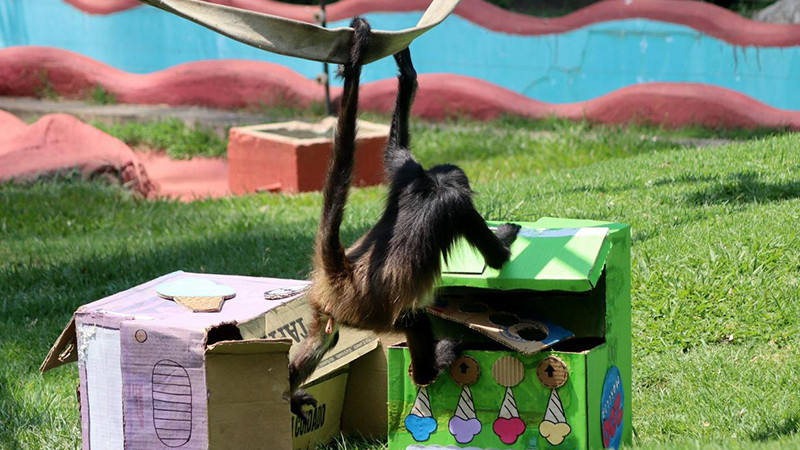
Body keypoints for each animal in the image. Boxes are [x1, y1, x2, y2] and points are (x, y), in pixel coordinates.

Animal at [288, 17, 521, 421]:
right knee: (414, 319)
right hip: (374, 314)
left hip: (326, 307)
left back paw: (288, 393)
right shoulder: (456, 203)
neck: (430, 184)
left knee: (325, 338)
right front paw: (506, 235)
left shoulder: (408, 170)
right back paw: (431, 368)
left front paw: (407, 70)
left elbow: (396, 146)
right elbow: (495, 257)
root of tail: (343, 273)